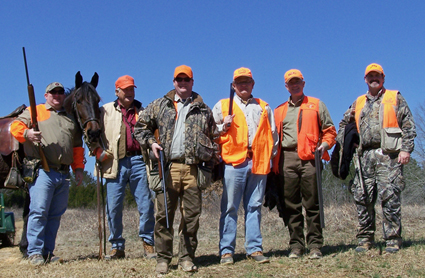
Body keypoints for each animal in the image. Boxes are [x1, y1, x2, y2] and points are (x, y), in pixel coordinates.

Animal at [0, 71, 102, 254]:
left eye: (97, 100)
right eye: (79, 100)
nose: (94, 132)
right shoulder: (29, 181)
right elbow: (30, 212)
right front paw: (26, 248)